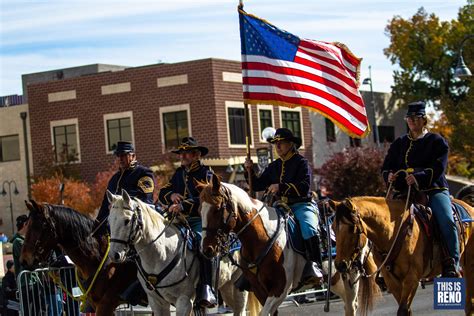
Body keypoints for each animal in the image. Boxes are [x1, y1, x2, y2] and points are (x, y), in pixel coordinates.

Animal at [107, 190, 258, 316]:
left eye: (127, 221)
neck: (161, 255)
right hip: (226, 287)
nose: (114, 255)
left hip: (237, 288)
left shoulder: (184, 301)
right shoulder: (157, 302)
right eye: (109, 221)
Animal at [198, 175, 380, 316]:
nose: (207, 249)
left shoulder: (281, 288)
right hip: (335, 278)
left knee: (351, 305)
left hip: (351, 274)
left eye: (217, 208)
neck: (261, 239)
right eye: (200, 210)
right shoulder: (259, 289)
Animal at [330, 196, 474, 314]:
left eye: (351, 228)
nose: (340, 264)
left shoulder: (411, 278)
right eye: (333, 228)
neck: (393, 233)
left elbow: (403, 310)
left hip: (469, 267)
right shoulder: (391, 280)